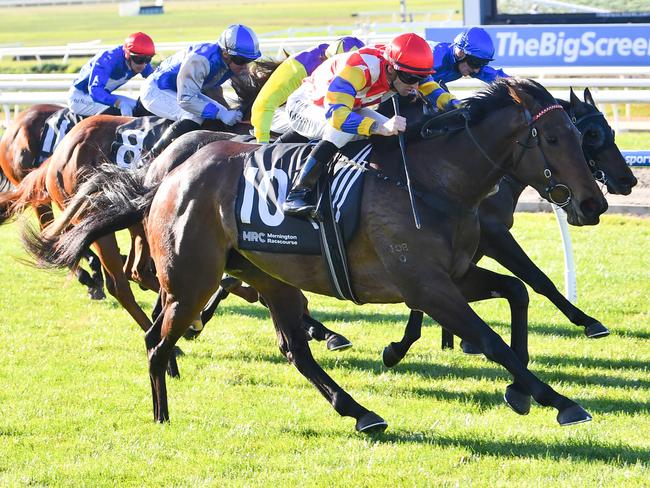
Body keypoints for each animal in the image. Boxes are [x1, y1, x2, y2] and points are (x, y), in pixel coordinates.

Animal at [27, 78, 608, 432]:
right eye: (554, 139)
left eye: (582, 137)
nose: (594, 202)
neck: (435, 181)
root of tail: (164, 178)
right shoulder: (426, 285)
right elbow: (489, 338)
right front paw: (558, 400)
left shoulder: (452, 276)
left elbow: (517, 291)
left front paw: (523, 390)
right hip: (192, 278)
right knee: (154, 335)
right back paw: (163, 412)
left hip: (271, 278)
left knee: (293, 349)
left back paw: (361, 412)